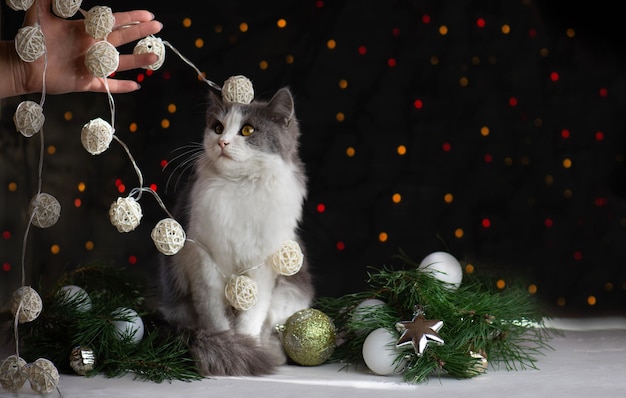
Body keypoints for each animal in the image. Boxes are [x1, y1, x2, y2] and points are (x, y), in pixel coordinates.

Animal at [156, 84, 312, 376]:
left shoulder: (263, 267)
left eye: (248, 130)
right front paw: (230, 349)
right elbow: (216, 318)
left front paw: (246, 349)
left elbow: (251, 318)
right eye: (217, 128)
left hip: (290, 294)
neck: (240, 187)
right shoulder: (204, 260)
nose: (222, 142)